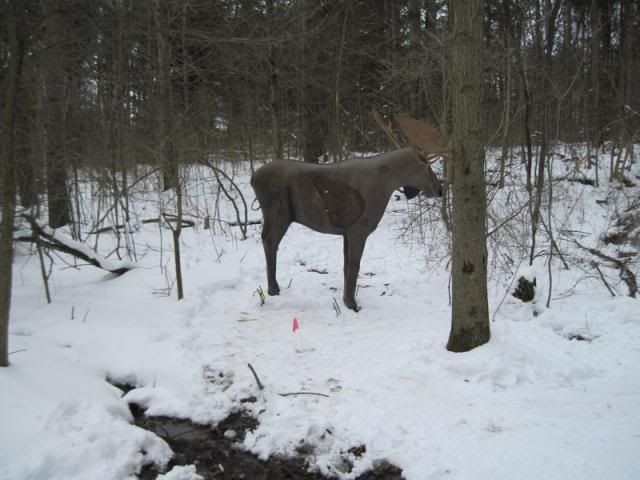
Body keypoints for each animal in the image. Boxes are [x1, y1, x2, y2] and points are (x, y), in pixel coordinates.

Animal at [251, 123, 447, 312]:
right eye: (427, 167)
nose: (439, 190)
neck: (387, 184)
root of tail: (253, 179)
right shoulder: (358, 230)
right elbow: (354, 265)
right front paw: (352, 303)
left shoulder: (346, 233)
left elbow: (346, 266)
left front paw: (346, 300)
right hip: (280, 214)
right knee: (270, 242)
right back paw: (273, 289)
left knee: (266, 239)